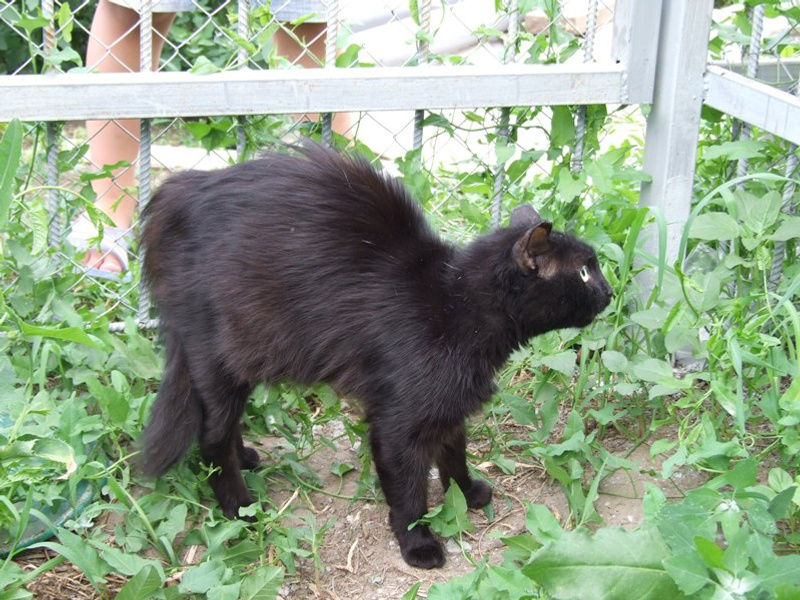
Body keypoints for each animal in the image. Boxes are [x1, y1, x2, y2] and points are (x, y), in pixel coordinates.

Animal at [140, 143, 612, 569]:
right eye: (585, 271)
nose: (609, 292)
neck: (456, 306)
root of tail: (176, 193)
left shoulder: (448, 406)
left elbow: (454, 453)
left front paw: (466, 493)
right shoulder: (397, 425)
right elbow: (408, 494)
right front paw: (418, 544)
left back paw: (247, 459)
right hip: (216, 359)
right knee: (212, 437)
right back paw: (239, 506)